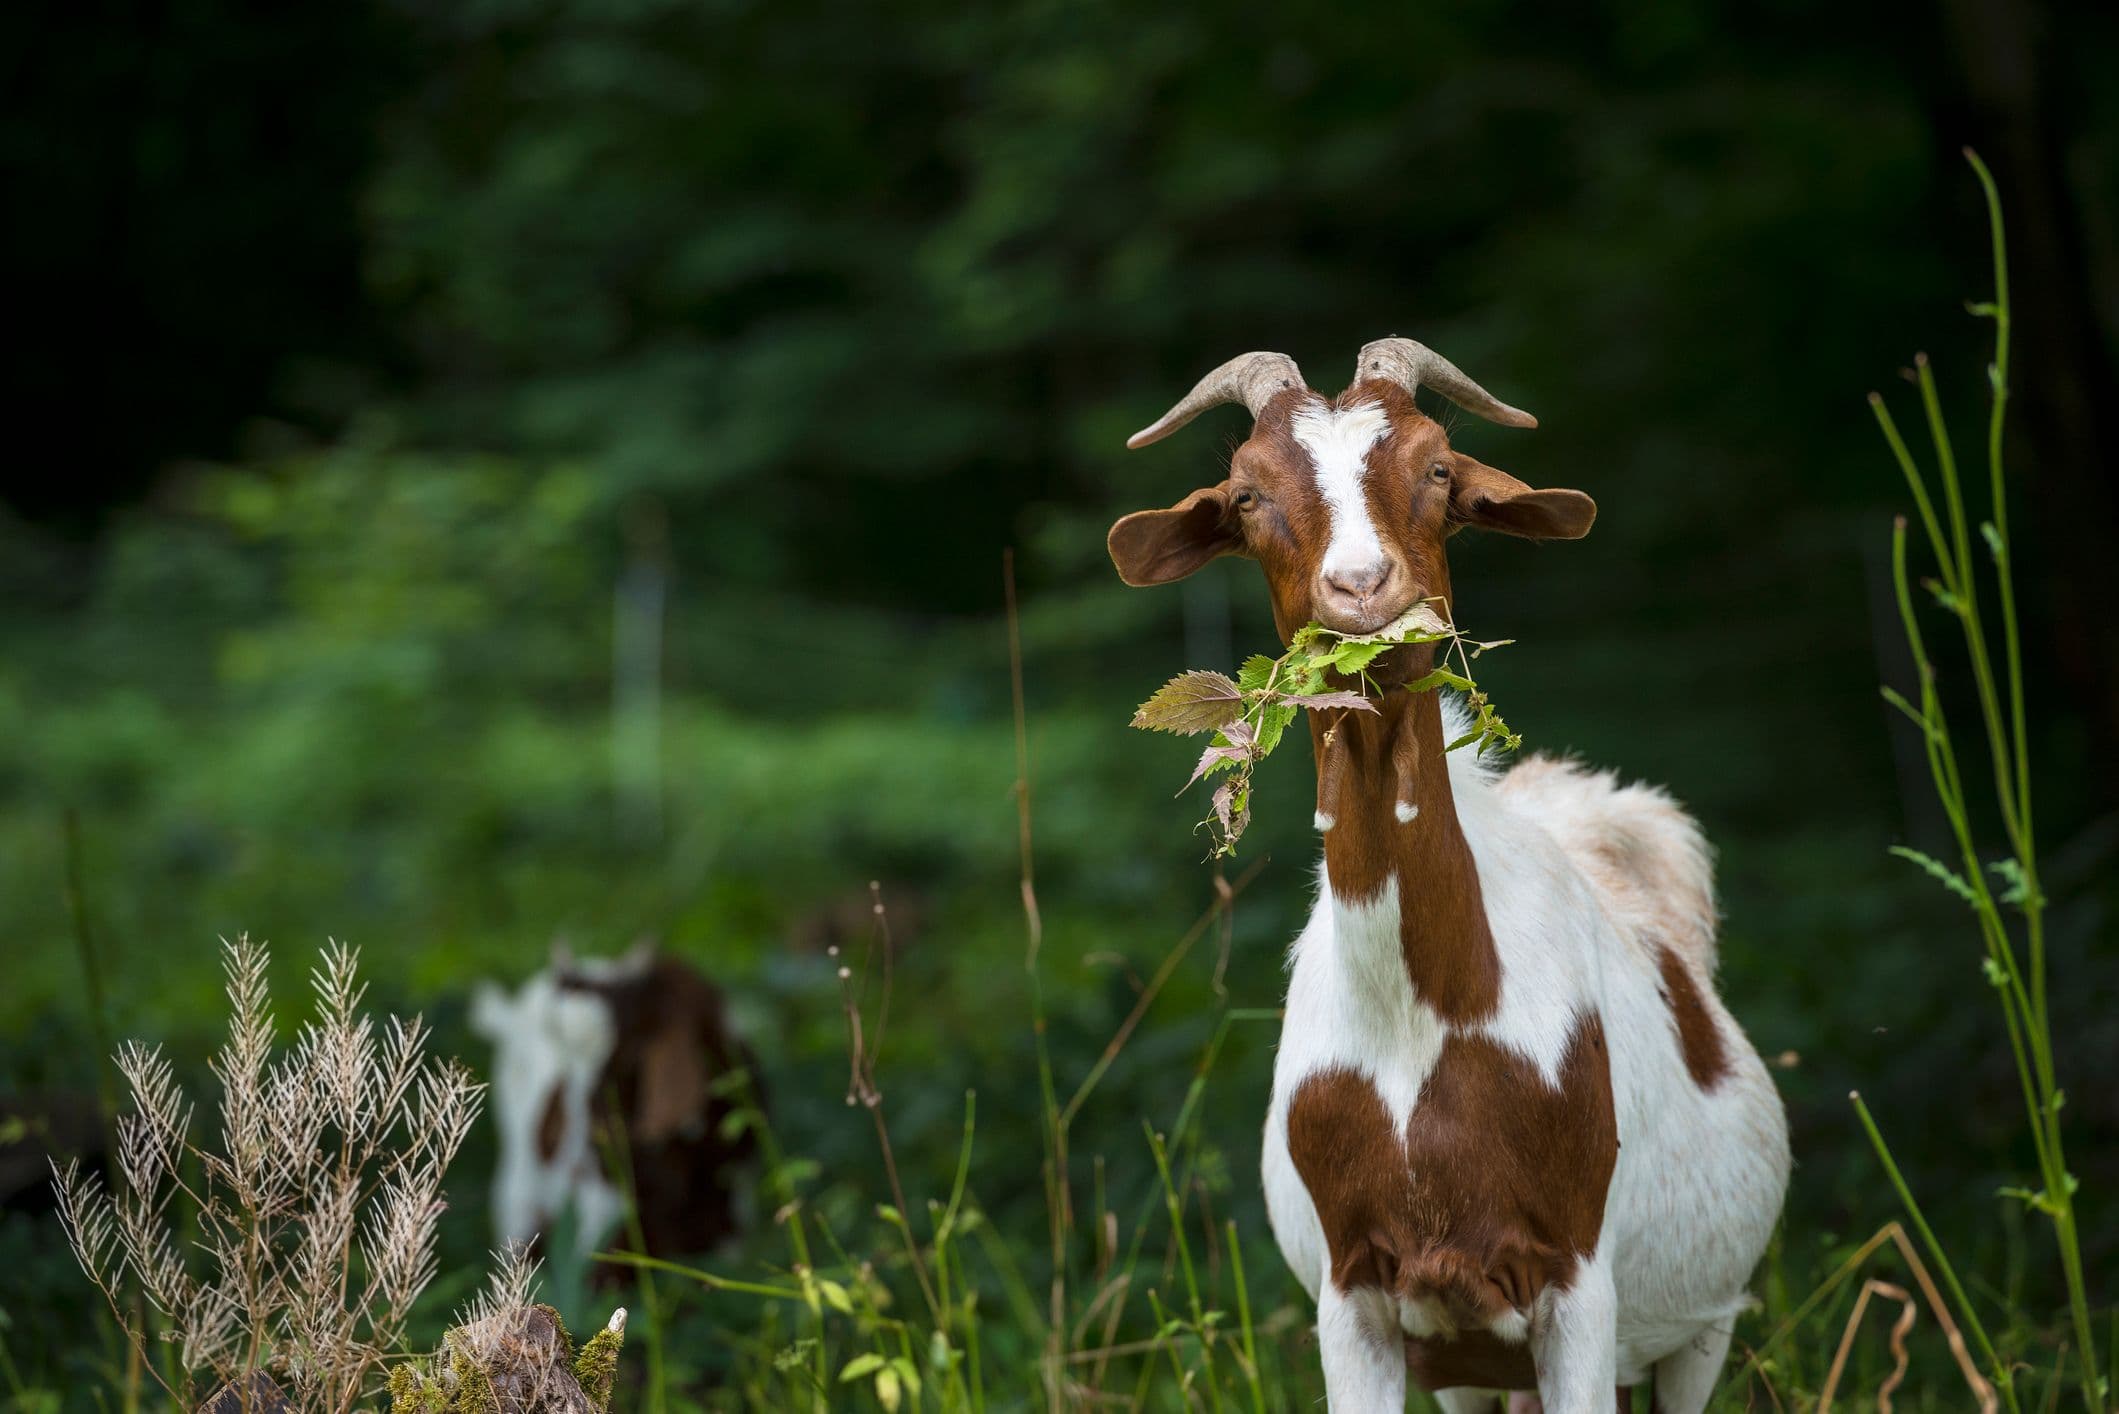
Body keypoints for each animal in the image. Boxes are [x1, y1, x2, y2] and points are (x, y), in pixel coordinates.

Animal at [1110, 343, 1788, 1414]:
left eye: (1437, 468)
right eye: (1248, 494)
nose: (1361, 586)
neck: (1425, 1015)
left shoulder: (1577, 1286)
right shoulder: (1358, 1294)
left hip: (1702, 1324)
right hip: (1470, 1363)